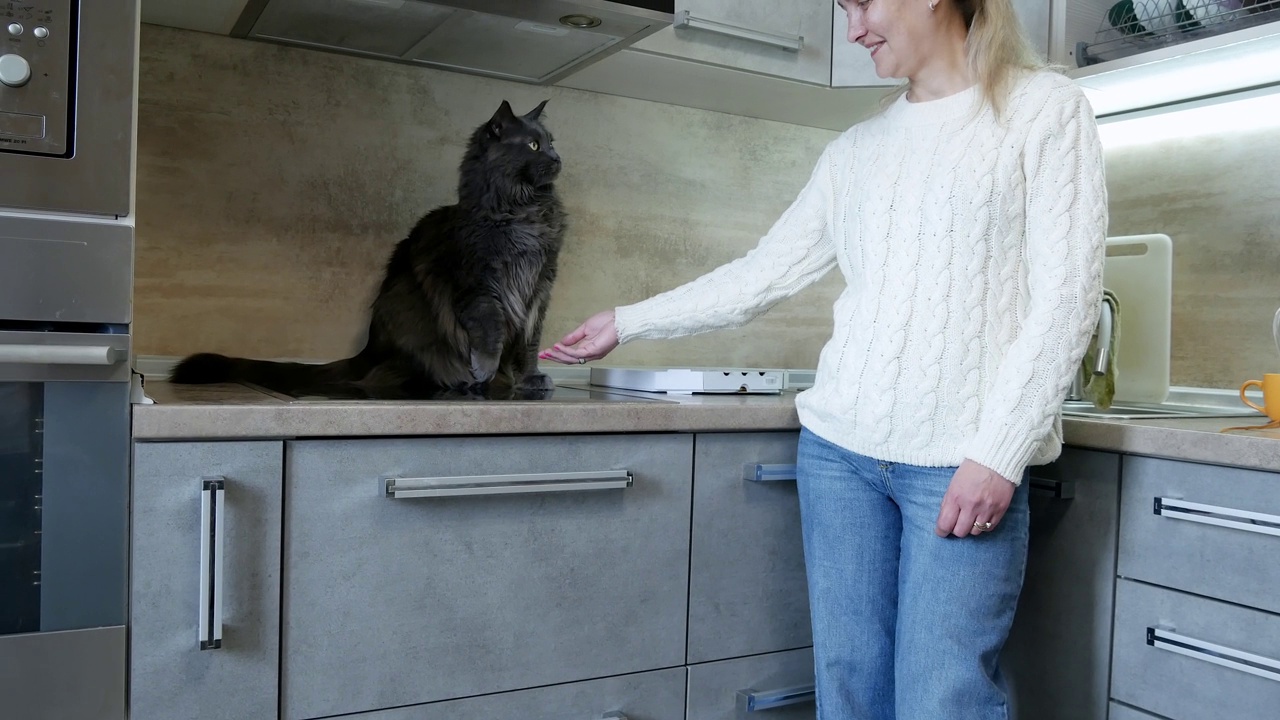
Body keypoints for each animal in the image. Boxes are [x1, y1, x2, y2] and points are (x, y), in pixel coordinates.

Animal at [170, 98, 565, 397]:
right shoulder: (478, 287)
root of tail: (369, 350)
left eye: (552, 142)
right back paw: (456, 383)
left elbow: (528, 344)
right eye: (533, 145)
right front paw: (486, 372)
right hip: (407, 309)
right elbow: (490, 335)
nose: (558, 158)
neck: (523, 213)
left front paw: (529, 380)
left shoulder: (539, 290)